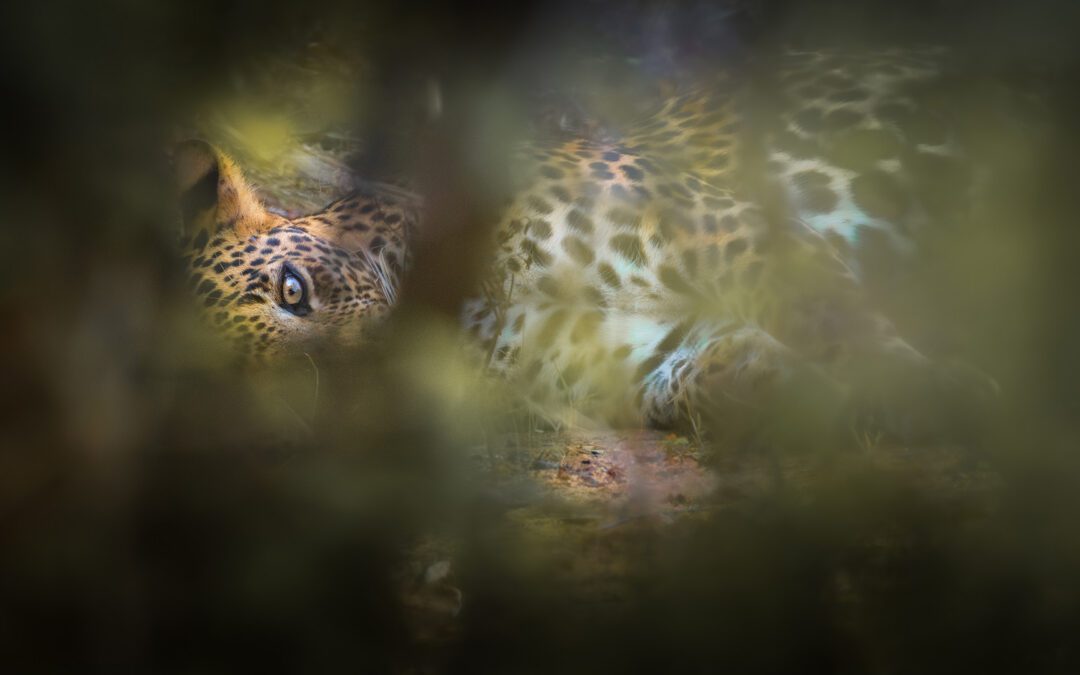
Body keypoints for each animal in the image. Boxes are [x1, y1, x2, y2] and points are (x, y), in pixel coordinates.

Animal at [176, 47, 999, 440]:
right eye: (283, 391)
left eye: (294, 289)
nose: (378, 369)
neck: (472, 317)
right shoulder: (648, 353)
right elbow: (704, 380)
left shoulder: (711, 229)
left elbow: (828, 319)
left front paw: (945, 393)